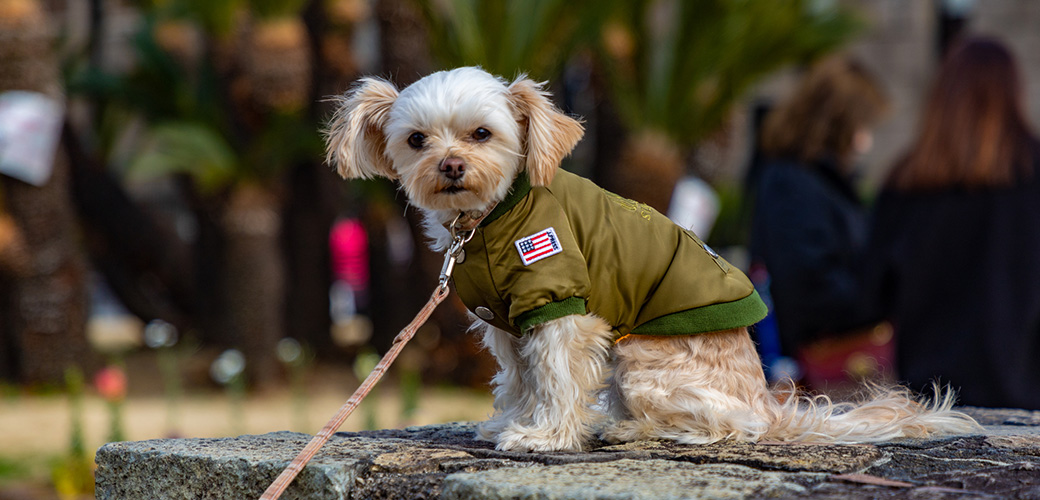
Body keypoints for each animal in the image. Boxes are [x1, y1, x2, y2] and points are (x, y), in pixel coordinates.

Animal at [320, 67, 977, 453]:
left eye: (481, 134)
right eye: (416, 140)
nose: (450, 166)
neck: (487, 220)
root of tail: (767, 400)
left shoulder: (558, 302)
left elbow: (553, 375)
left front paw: (547, 436)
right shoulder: (507, 320)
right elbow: (519, 378)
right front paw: (513, 422)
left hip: (643, 360)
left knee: (728, 426)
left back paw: (634, 426)